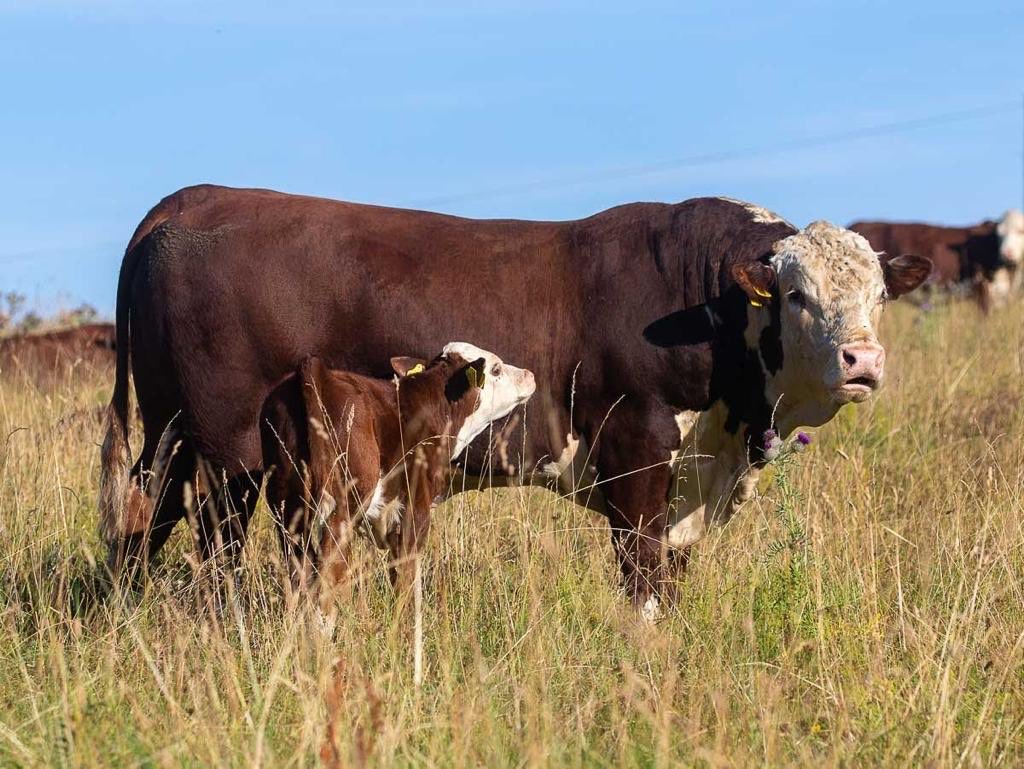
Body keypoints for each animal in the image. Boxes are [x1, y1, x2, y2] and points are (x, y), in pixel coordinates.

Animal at [261, 343, 535, 596]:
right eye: (496, 369)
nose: (529, 375)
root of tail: (316, 372)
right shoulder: (416, 506)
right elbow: (408, 578)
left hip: (287, 505)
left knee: (299, 572)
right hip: (345, 503)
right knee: (330, 568)